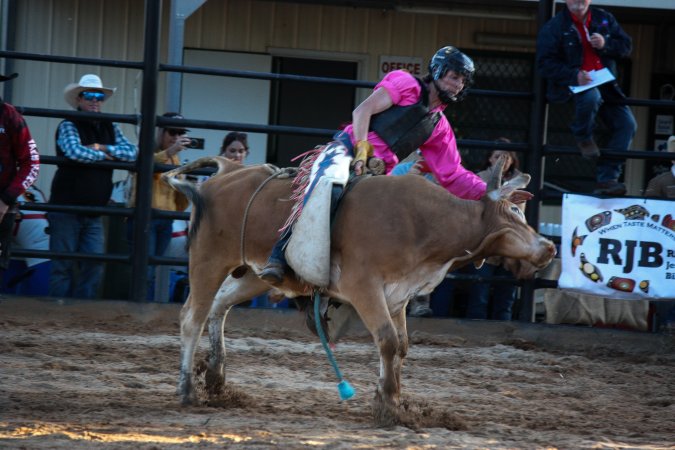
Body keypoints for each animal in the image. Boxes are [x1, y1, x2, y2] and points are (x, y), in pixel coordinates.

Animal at [162, 156, 556, 426]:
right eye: (515, 210)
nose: (549, 247)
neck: (424, 222)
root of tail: (226, 172)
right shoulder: (364, 287)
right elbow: (388, 340)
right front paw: (390, 406)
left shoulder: (398, 294)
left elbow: (400, 345)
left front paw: (388, 396)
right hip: (209, 259)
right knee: (191, 318)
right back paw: (187, 390)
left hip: (256, 274)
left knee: (219, 306)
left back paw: (216, 378)